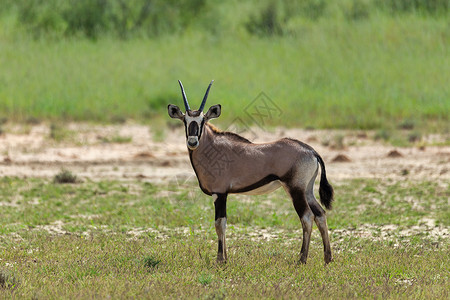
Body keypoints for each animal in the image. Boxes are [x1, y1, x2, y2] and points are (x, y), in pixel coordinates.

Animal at [169, 81, 334, 264]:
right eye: (185, 120)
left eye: (202, 120)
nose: (192, 142)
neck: (213, 148)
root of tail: (312, 151)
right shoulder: (223, 194)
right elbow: (224, 224)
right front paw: (225, 258)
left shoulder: (220, 193)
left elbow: (219, 224)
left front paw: (220, 260)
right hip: (307, 191)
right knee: (320, 214)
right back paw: (327, 258)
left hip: (295, 189)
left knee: (307, 217)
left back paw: (302, 259)